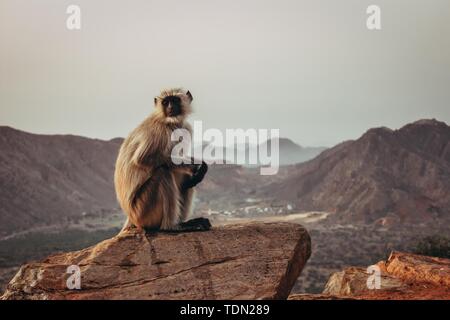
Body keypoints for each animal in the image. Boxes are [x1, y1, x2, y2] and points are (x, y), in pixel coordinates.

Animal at [114, 89, 209, 234]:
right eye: (165, 102)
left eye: (174, 100)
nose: (170, 108)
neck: (169, 122)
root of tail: (131, 218)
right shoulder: (159, 130)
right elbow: (142, 158)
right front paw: (197, 166)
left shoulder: (185, 128)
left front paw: (198, 168)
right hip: (143, 210)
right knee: (163, 172)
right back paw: (171, 227)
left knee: (183, 177)